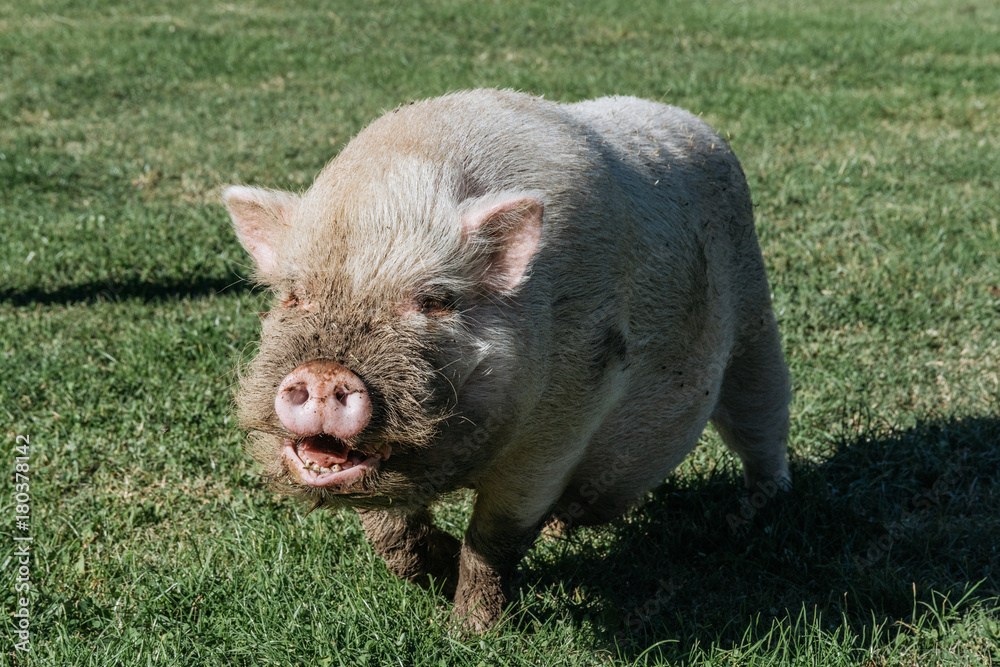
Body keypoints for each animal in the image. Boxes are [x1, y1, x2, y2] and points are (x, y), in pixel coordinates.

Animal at [223, 88, 791, 632]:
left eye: (435, 301)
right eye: (295, 296)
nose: (323, 373)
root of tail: (693, 122)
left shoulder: (560, 425)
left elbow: (493, 541)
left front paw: (470, 631)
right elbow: (391, 536)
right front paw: (443, 569)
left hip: (755, 320)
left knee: (763, 425)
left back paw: (759, 516)